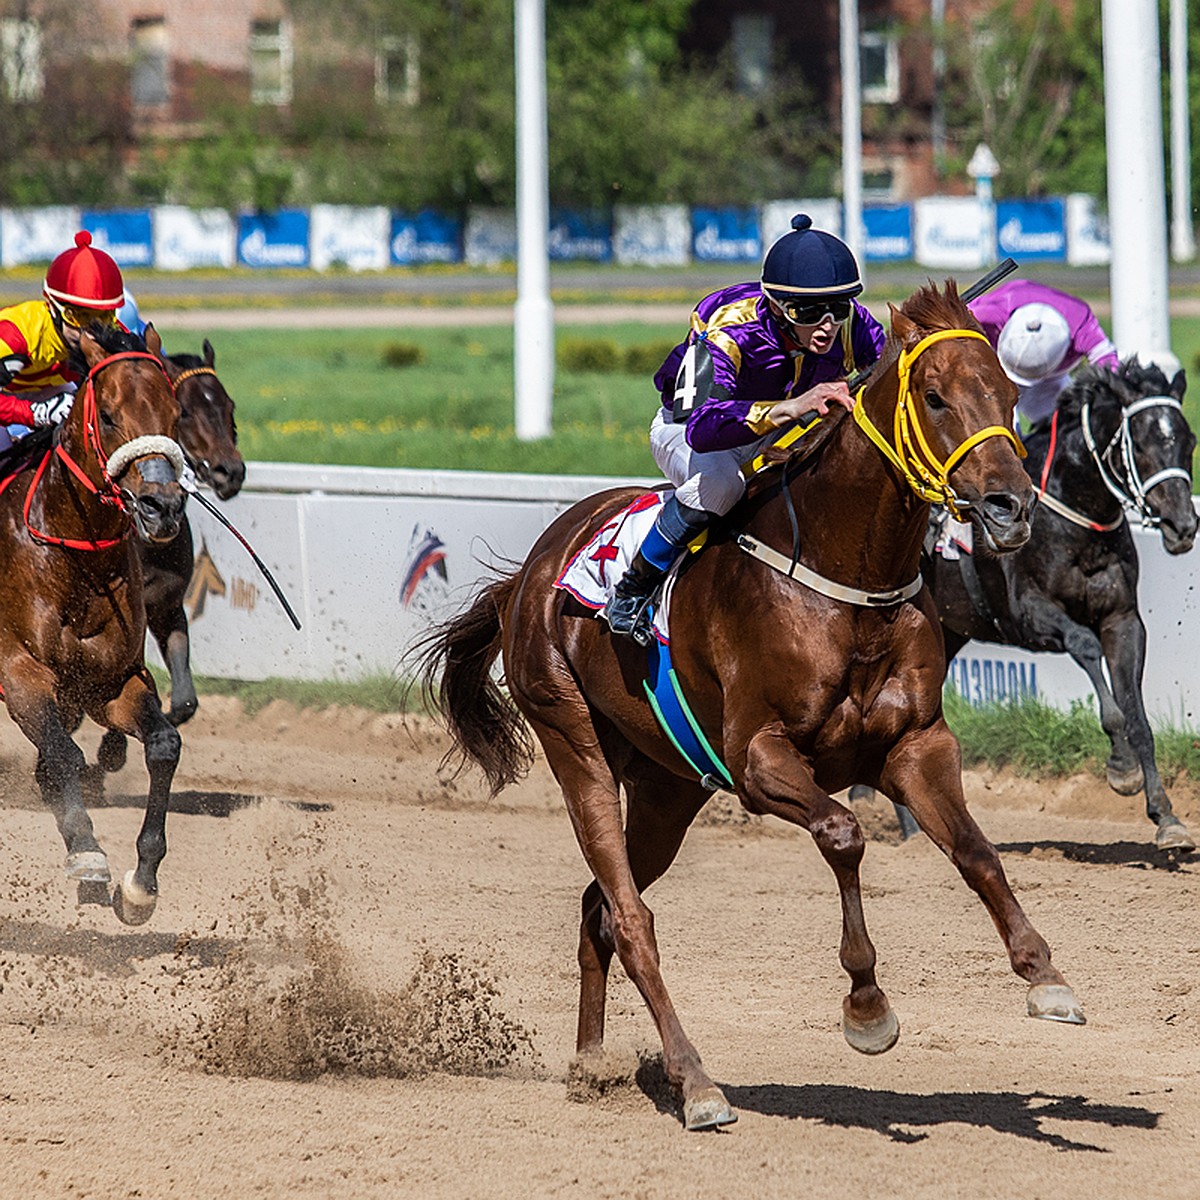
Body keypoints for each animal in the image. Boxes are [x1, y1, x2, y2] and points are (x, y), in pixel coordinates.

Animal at [0, 324, 187, 921]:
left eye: (174, 413)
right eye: (107, 415)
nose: (160, 507)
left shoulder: (111, 681)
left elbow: (164, 744)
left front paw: (141, 880)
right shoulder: (19, 673)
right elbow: (64, 754)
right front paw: (86, 852)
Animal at [417, 285, 1094, 1128]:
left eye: (1006, 393)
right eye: (936, 397)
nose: (1009, 508)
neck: (846, 577)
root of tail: (530, 574)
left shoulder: (916, 745)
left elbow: (977, 852)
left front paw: (1046, 978)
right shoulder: (757, 757)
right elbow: (843, 835)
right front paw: (867, 1008)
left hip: (668, 788)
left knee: (597, 909)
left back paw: (592, 1066)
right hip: (574, 741)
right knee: (631, 918)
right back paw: (697, 1082)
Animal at [849, 357, 1195, 854]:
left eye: (1188, 442)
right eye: (1144, 443)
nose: (1183, 526)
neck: (1075, 523)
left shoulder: (1123, 620)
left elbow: (1138, 715)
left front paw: (1166, 817)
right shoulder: (1028, 614)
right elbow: (1085, 647)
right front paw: (1121, 765)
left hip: (945, 634)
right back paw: (910, 829)